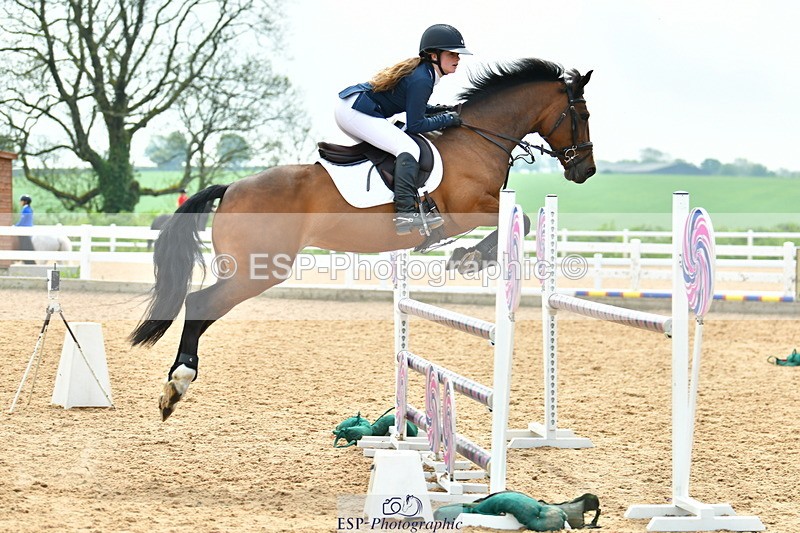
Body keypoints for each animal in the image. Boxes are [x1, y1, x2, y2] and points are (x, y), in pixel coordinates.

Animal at [129, 58, 596, 420]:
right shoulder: (466, 209)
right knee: (199, 304)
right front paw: (469, 258)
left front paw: (466, 257)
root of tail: (231, 187)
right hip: (258, 270)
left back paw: (173, 388)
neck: (478, 137)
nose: (586, 171)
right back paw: (177, 386)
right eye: (583, 115)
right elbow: (521, 223)